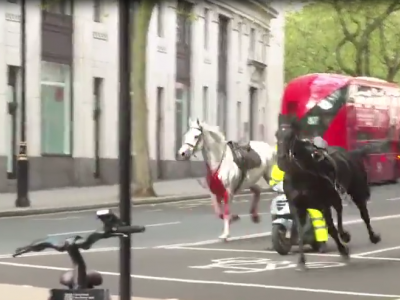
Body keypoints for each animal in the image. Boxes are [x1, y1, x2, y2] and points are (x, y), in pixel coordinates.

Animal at [276, 120, 382, 270]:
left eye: (291, 136)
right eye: (276, 135)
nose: (281, 159)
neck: (301, 175)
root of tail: (350, 153)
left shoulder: (322, 204)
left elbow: (331, 229)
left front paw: (343, 250)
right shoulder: (297, 207)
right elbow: (299, 233)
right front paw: (301, 261)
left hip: (356, 192)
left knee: (364, 215)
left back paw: (371, 237)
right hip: (335, 196)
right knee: (339, 208)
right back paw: (344, 235)